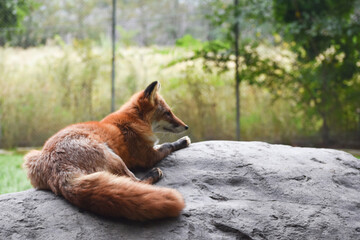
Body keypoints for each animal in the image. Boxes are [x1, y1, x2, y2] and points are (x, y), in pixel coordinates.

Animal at [23, 81, 190, 220]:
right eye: (168, 113)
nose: (186, 126)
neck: (134, 121)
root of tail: (59, 171)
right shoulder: (148, 156)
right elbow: (168, 145)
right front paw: (182, 141)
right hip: (114, 158)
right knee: (136, 181)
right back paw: (153, 174)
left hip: (30, 157)